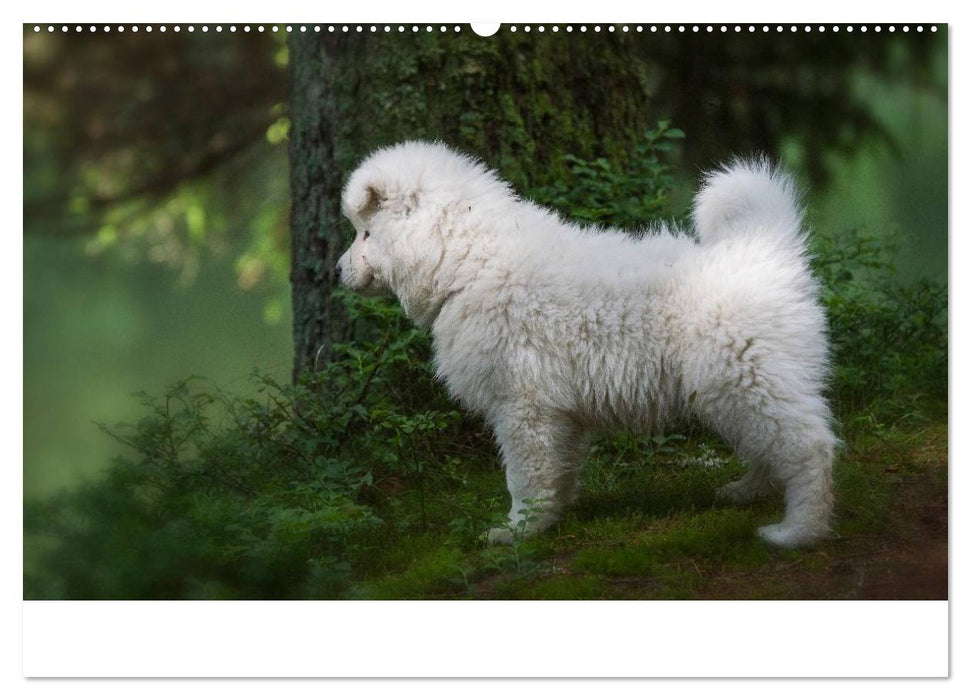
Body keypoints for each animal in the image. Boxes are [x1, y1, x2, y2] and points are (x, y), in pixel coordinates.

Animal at [336, 141, 836, 548]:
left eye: (365, 234)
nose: (335, 271)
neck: (468, 262)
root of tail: (766, 248)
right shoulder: (559, 412)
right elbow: (559, 470)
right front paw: (550, 518)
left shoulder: (523, 404)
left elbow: (524, 474)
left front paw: (517, 530)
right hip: (737, 387)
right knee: (769, 446)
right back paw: (746, 490)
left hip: (745, 377)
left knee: (809, 446)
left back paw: (799, 530)